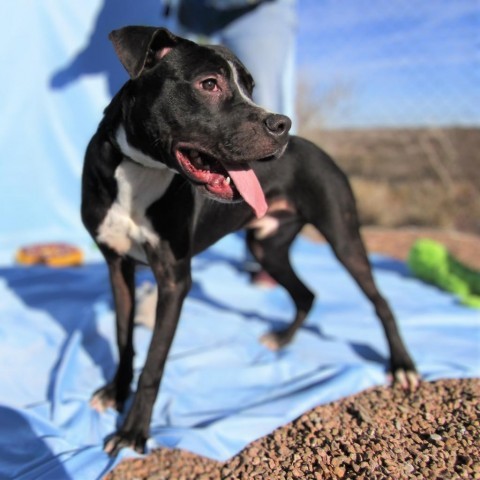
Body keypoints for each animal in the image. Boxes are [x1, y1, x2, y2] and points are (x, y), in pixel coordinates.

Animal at [80, 26, 418, 454]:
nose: (282, 125)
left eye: (251, 88)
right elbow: (124, 340)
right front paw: (115, 393)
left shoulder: (174, 280)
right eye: (209, 84)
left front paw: (133, 430)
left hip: (342, 237)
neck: (139, 170)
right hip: (267, 248)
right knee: (306, 294)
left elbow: (154, 365)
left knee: (380, 300)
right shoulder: (117, 266)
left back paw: (403, 365)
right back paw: (283, 339)